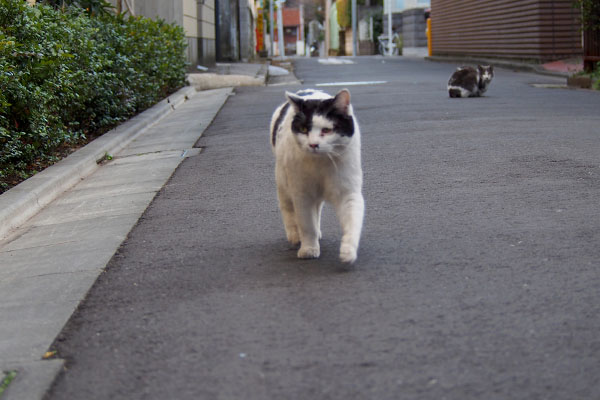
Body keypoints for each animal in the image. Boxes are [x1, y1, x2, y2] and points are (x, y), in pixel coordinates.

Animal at [270, 89, 364, 264]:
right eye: (303, 129)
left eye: (326, 130)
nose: (313, 144)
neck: (322, 163)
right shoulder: (302, 194)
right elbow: (307, 225)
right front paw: (309, 249)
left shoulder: (348, 192)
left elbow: (352, 221)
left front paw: (348, 251)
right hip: (283, 180)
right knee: (287, 208)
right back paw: (294, 235)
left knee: (317, 209)